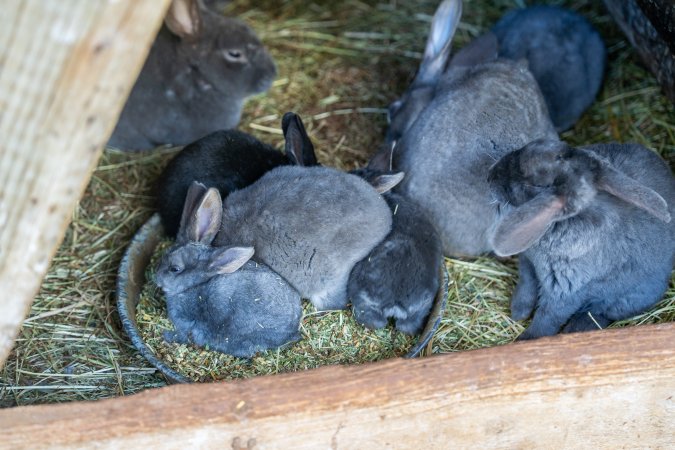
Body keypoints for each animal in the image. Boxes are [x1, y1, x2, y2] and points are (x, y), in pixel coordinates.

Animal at [155, 182, 302, 357]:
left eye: (175, 268)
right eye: (164, 255)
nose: (156, 278)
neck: (192, 287)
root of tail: (292, 330)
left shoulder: (185, 323)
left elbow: (182, 334)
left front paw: (165, 334)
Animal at [487, 139, 674, 340]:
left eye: (534, 183)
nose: (490, 176)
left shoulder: (565, 292)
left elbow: (547, 319)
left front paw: (525, 340)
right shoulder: (528, 263)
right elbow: (526, 283)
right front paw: (518, 312)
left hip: (629, 298)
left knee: (601, 313)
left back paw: (576, 328)